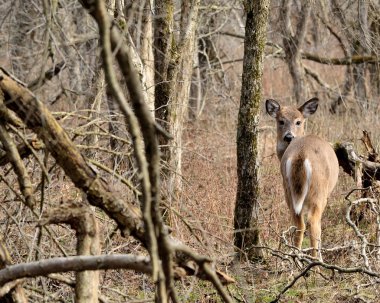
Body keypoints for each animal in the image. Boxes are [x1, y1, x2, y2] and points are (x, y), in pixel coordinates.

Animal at [264, 98, 338, 260]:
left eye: (298, 121)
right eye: (281, 121)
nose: (288, 137)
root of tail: (301, 154)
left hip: (287, 189)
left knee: (299, 224)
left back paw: (295, 258)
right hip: (318, 190)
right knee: (313, 223)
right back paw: (316, 262)